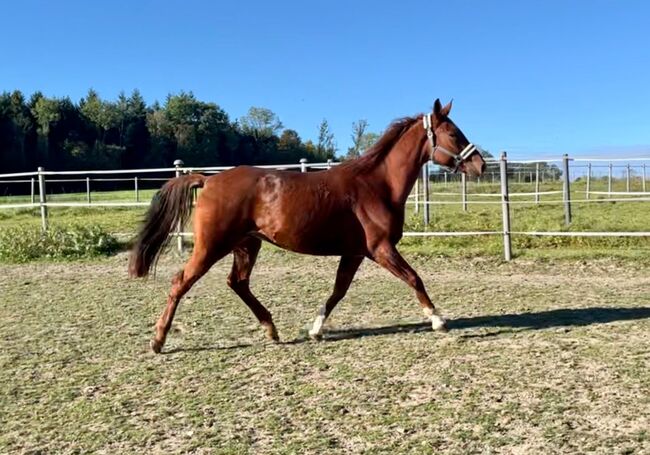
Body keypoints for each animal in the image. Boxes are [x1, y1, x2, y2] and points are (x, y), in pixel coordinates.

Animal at [129, 101, 480, 354]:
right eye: (453, 134)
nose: (479, 164)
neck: (376, 185)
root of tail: (209, 179)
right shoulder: (380, 249)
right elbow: (414, 278)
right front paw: (438, 319)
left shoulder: (354, 253)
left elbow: (338, 291)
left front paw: (315, 330)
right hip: (211, 246)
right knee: (181, 282)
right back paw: (158, 341)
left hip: (247, 244)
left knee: (237, 283)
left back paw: (271, 330)